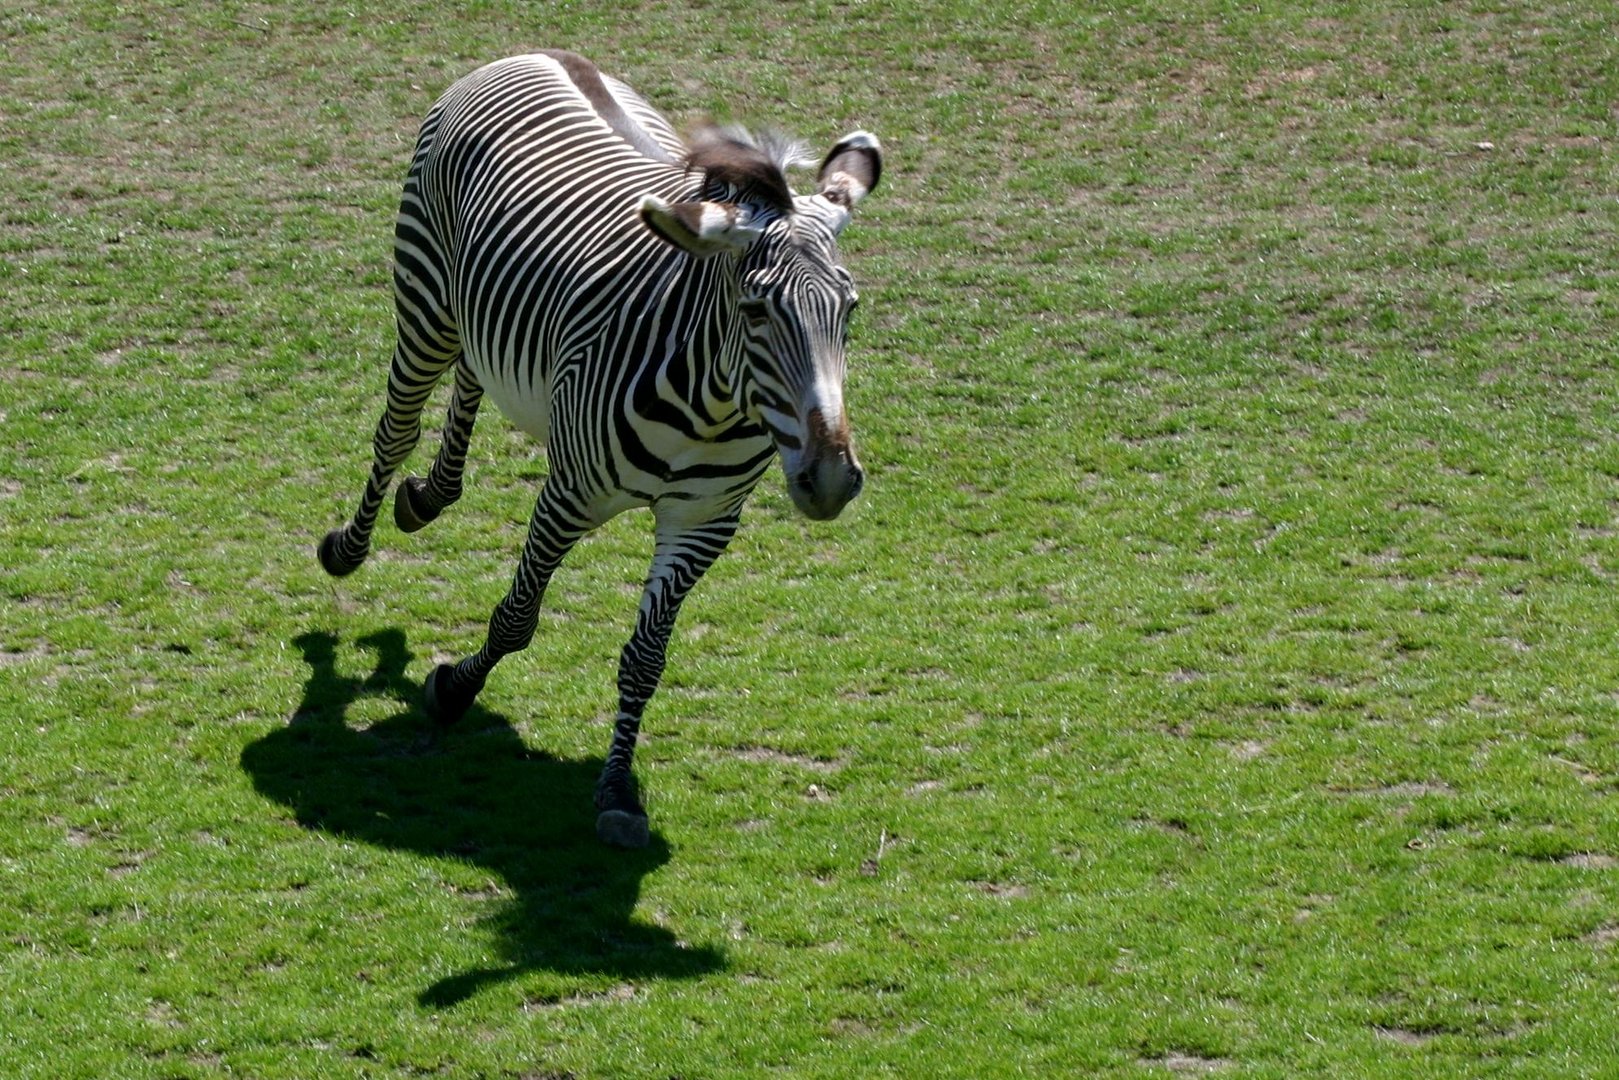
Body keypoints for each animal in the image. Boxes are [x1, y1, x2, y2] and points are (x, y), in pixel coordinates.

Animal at [310, 52, 880, 854]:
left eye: (849, 310)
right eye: (756, 310)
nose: (829, 480)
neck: (713, 408)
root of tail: (534, 53)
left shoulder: (703, 523)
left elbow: (645, 660)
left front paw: (615, 793)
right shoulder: (569, 494)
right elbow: (517, 619)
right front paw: (453, 690)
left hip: (477, 310)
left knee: (473, 374)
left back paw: (427, 497)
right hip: (426, 299)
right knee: (395, 429)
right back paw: (350, 546)